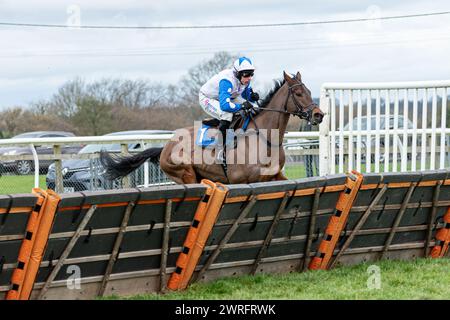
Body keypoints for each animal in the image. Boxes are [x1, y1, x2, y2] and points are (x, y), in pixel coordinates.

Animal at [100, 71, 324, 184]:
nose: (318, 114)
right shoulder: (242, 181)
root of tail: (165, 147)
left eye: (309, 90)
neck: (265, 138)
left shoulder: (275, 176)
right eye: (298, 94)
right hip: (186, 175)